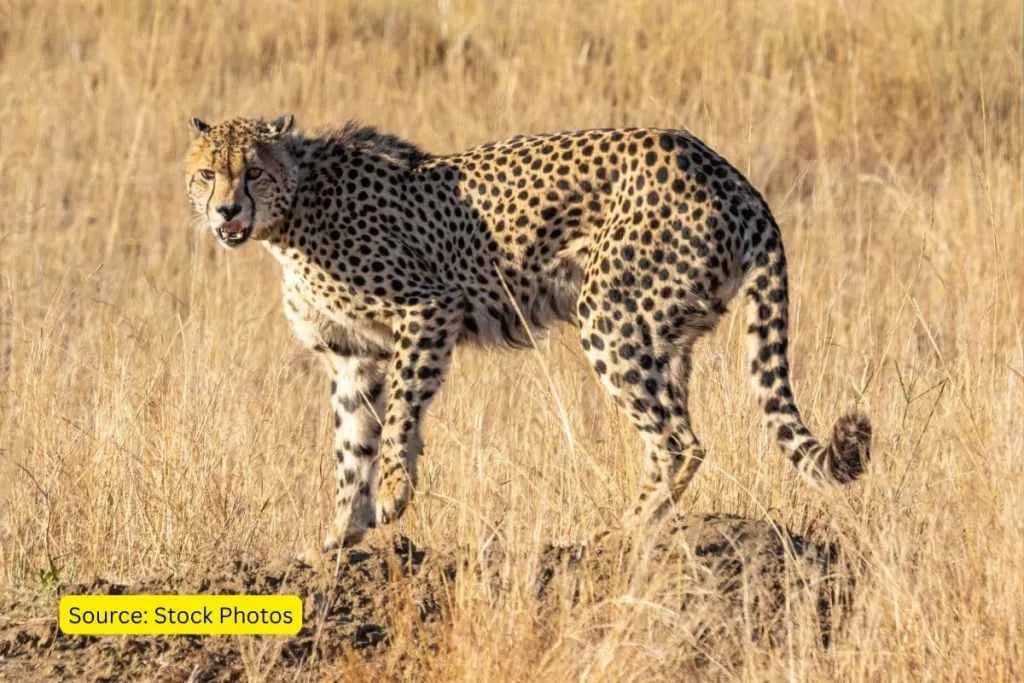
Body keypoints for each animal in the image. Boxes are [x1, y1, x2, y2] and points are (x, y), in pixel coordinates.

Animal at [184, 114, 871, 550]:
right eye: (207, 174)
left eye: (252, 172)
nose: (227, 210)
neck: (294, 211)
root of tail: (726, 170)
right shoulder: (354, 356)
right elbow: (351, 445)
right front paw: (338, 534)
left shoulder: (428, 310)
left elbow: (401, 415)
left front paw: (395, 493)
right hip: (665, 332)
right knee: (673, 435)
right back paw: (645, 525)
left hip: (610, 315)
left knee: (681, 441)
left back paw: (622, 531)